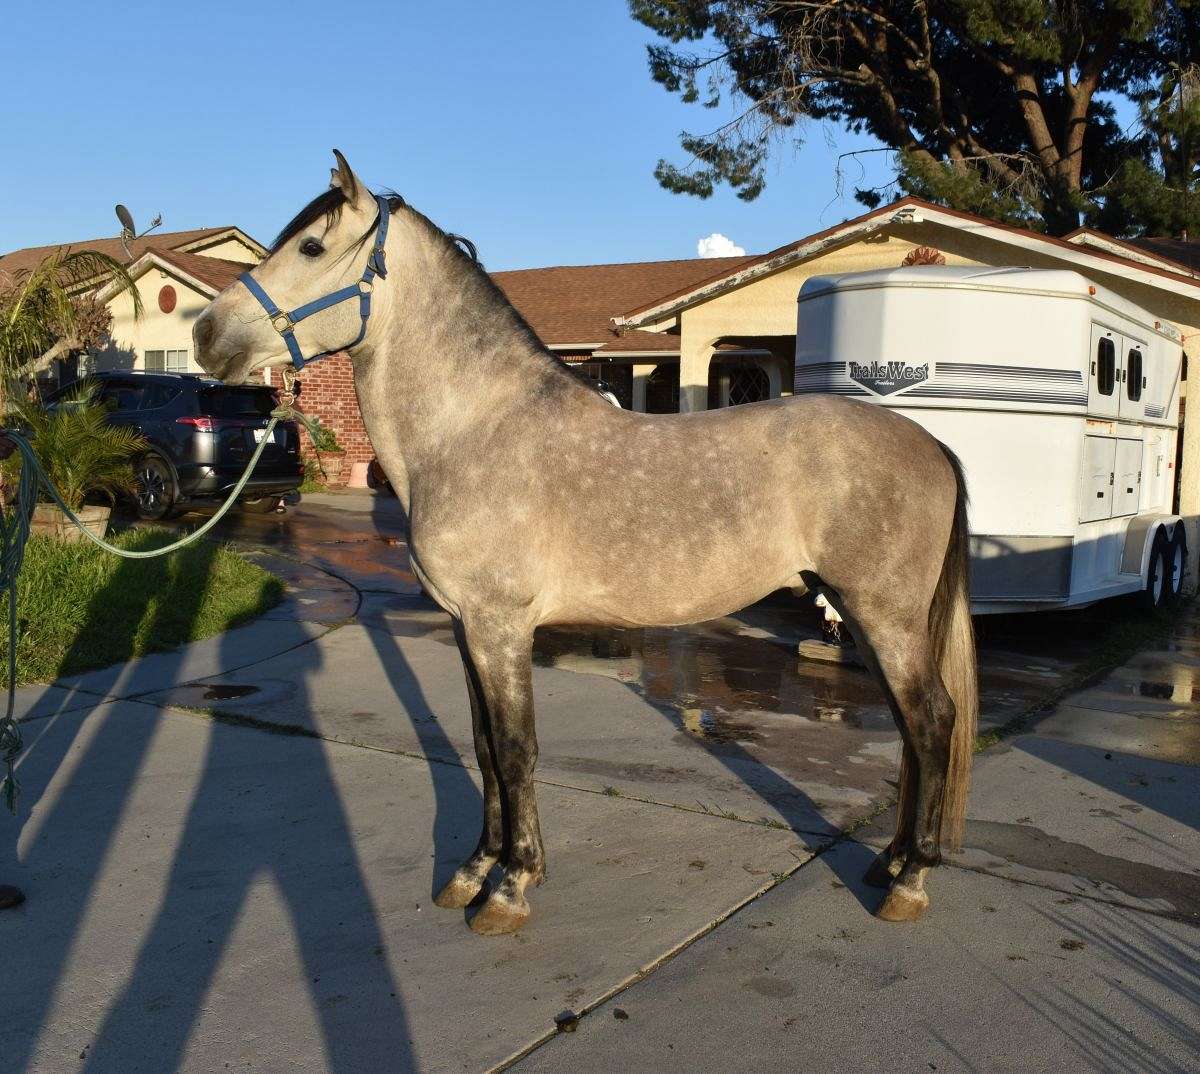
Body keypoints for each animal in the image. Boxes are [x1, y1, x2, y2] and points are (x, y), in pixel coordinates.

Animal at [194, 156, 974, 936]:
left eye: (312, 248)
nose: (206, 334)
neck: (472, 430)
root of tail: (932, 444)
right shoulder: (468, 626)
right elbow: (483, 747)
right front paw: (473, 871)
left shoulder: (501, 627)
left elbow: (515, 750)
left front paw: (510, 887)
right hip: (866, 614)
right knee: (910, 728)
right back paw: (891, 862)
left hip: (886, 614)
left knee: (932, 722)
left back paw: (911, 881)